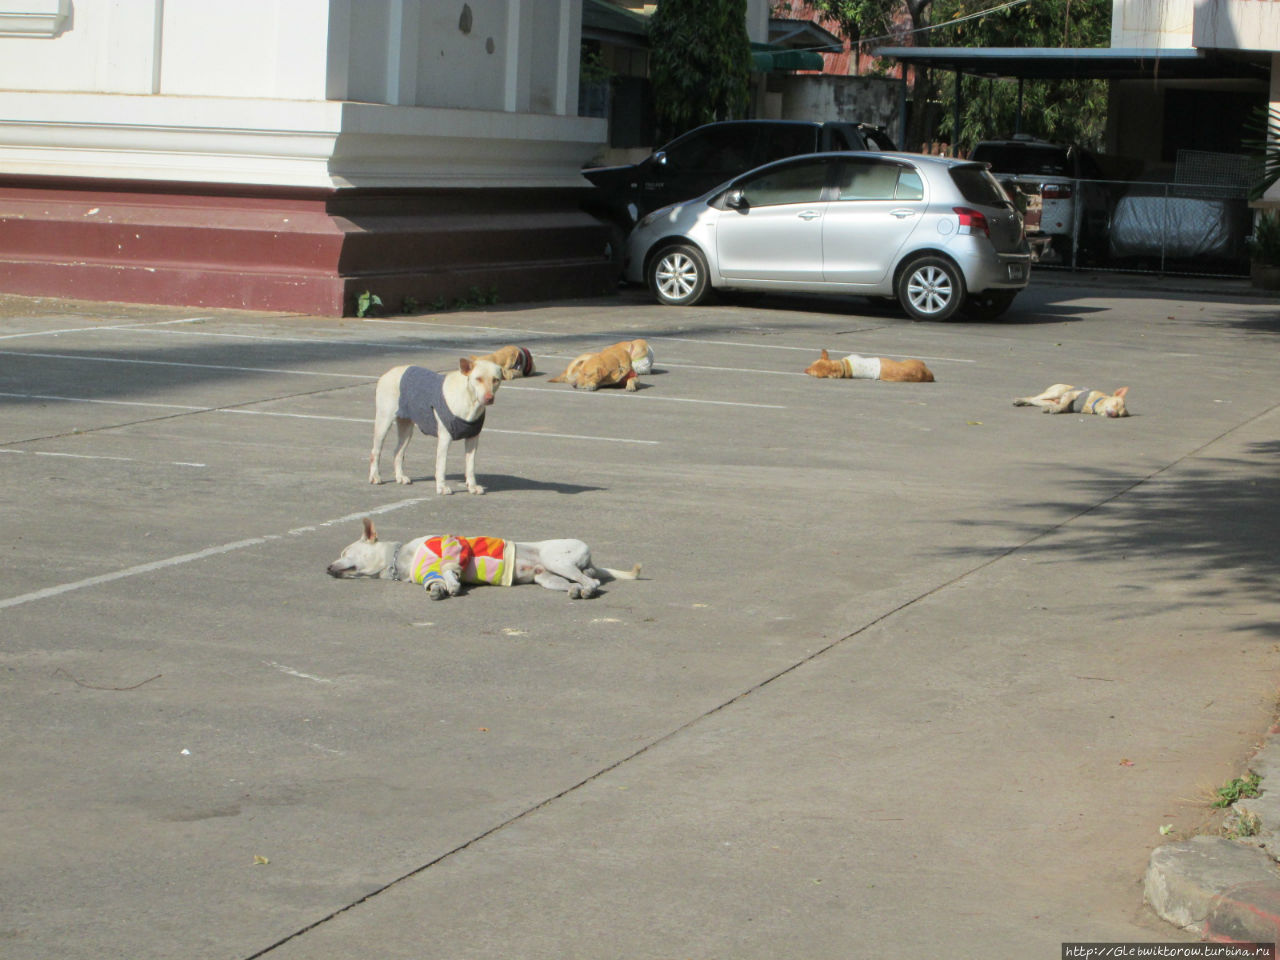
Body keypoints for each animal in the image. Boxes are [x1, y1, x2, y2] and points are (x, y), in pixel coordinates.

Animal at [368, 358, 501, 496]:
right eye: (478, 379)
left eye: (496, 380)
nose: (489, 398)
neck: (469, 400)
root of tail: (387, 373)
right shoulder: (445, 439)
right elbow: (441, 465)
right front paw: (442, 487)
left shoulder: (473, 439)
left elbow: (470, 466)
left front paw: (472, 486)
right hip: (384, 422)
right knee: (375, 452)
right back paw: (375, 477)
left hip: (407, 429)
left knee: (398, 452)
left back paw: (400, 477)